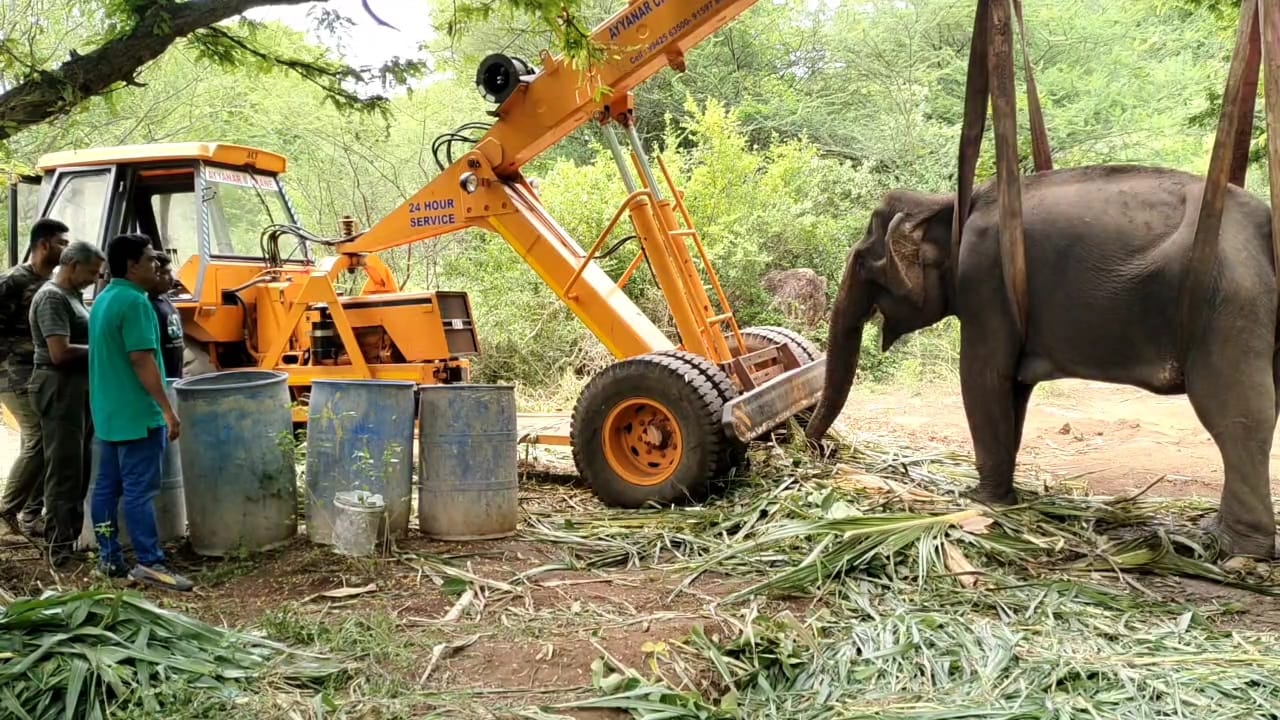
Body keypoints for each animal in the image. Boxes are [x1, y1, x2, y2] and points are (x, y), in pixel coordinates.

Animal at [808, 163, 1280, 561]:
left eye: (864, 264)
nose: (814, 449)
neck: (950, 203)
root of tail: (1264, 229)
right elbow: (1012, 390)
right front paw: (1001, 497)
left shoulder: (984, 279)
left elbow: (982, 377)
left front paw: (980, 501)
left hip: (1229, 299)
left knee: (1236, 412)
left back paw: (1232, 546)